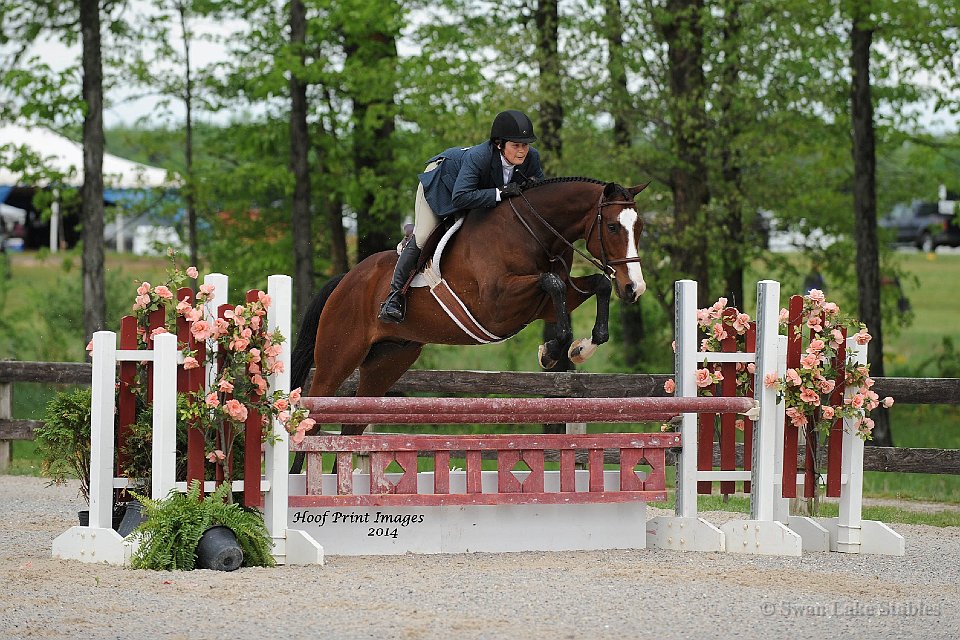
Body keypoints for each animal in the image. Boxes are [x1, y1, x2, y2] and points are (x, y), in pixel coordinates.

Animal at [288, 176, 648, 436]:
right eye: (612, 226)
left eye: (640, 227)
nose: (635, 288)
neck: (534, 231)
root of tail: (345, 280)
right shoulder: (497, 307)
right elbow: (552, 282)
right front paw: (552, 351)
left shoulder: (542, 306)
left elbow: (595, 284)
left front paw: (579, 349)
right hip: (338, 355)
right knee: (312, 415)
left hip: (388, 362)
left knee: (352, 425)